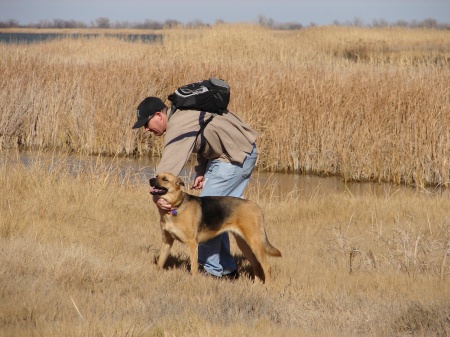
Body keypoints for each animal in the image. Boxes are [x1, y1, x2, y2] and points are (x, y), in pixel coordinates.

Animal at [149, 172, 282, 282]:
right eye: (156, 176)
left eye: (165, 179)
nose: (150, 180)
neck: (176, 205)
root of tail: (256, 206)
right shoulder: (167, 241)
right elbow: (160, 262)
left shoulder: (192, 244)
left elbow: (194, 267)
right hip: (245, 245)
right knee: (257, 265)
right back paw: (256, 286)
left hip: (255, 244)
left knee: (267, 267)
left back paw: (266, 287)